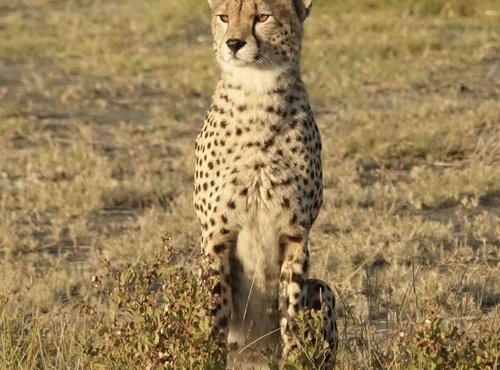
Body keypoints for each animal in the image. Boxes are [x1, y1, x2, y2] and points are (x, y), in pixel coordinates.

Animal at [193, 0, 338, 364]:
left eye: (262, 17)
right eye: (224, 17)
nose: (234, 43)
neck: (256, 93)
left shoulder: (296, 235)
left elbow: (292, 314)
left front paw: (293, 356)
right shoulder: (216, 237)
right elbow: (214, 316)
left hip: (323, 289)